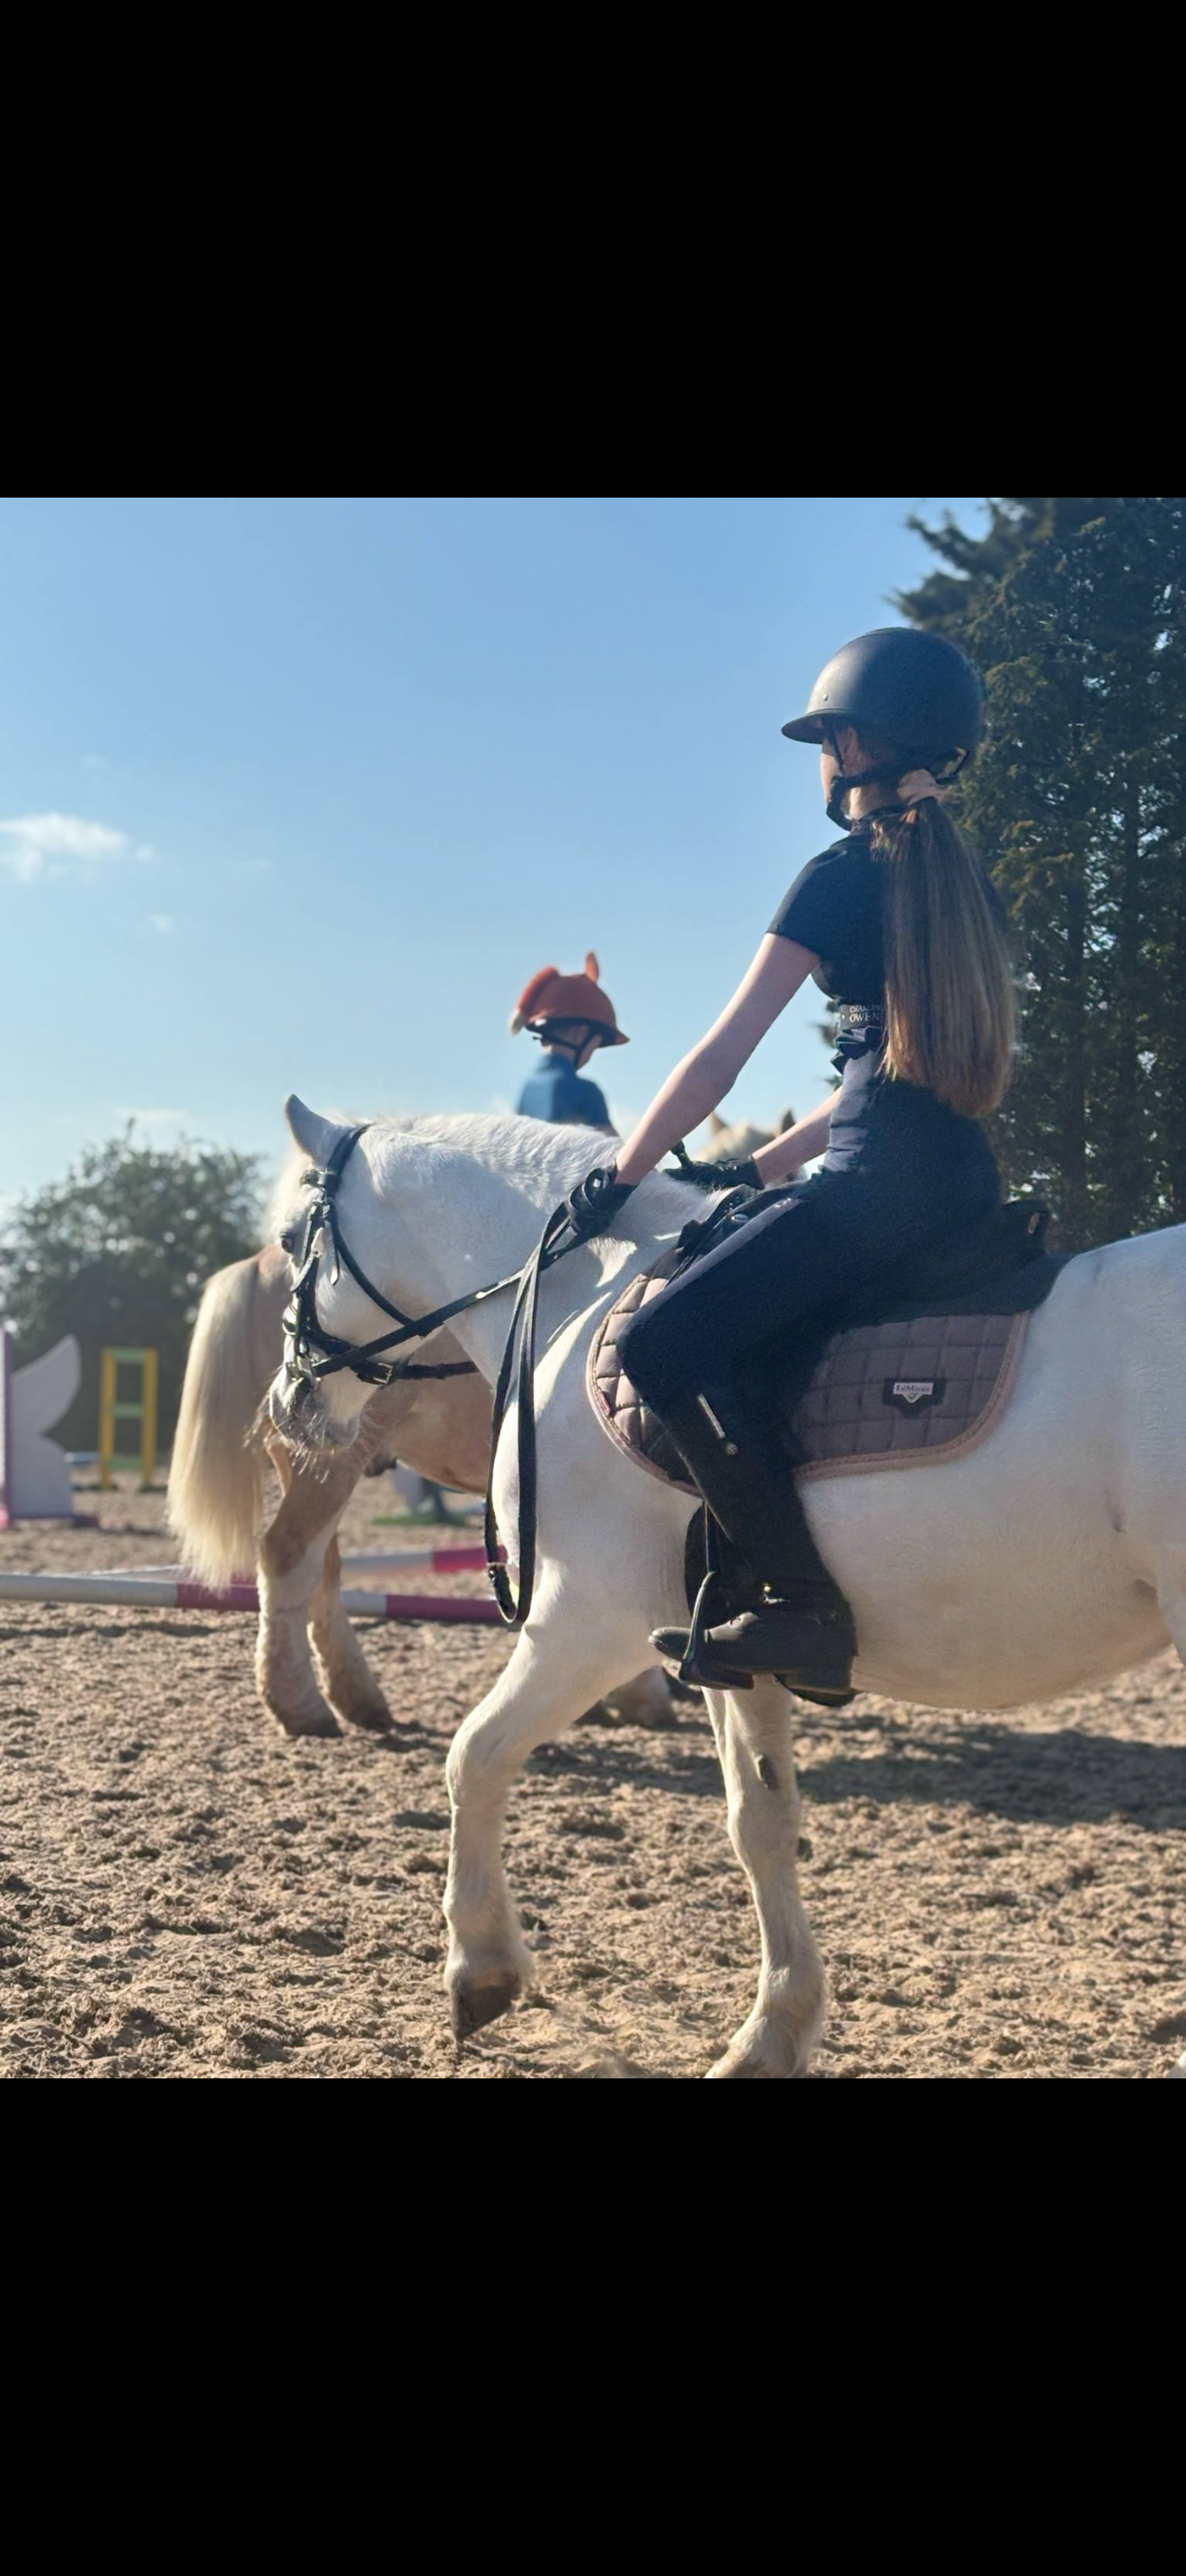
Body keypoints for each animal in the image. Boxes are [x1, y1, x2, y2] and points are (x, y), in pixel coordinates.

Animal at [167, 1242, 673, 1739]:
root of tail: (261, 1260)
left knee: (322, 1568)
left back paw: (357, 1697)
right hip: (330, 1458)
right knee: (288, 1554)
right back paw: (301, 1705)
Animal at [269, 1095, 1186, 2077]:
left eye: (289, 1239)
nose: (289, 1401)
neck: (586, 1291)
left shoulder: (586, 1618)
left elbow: (473, 1755)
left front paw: (481, 1968)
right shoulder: (732, 1643)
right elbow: (761, 1821)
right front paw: (774, 2030)